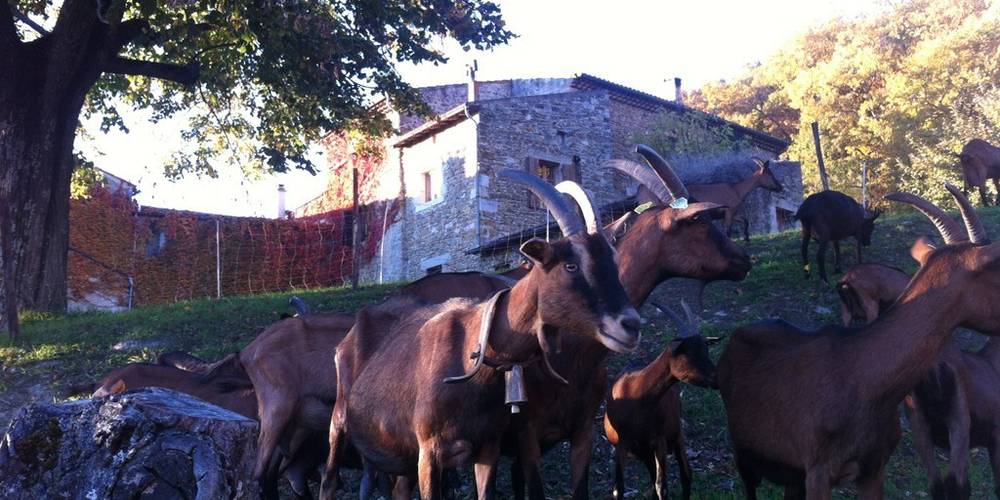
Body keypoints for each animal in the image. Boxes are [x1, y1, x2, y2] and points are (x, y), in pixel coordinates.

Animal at [320, 170, 641, 500]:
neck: (472, 354)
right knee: (329, 477)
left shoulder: (487, 446)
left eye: (614, 262)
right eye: (571, 265)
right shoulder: (429, 451)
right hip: (341, 421)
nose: (630, 325)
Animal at [603, 301, 716, 500]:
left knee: (685, 473)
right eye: (688, 353)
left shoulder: (659, 441)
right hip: (644, 452)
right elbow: (618, 489)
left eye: (706, 350)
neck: (636, 396)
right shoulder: (621, 444)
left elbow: (661, 486)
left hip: (675, 436)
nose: (716, 377)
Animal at [718, 184, 1000, 499]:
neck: (862, 378)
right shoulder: (818, 474)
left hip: (791, 475)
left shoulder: (872, 468)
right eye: (997, 271)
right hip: (746, 458)